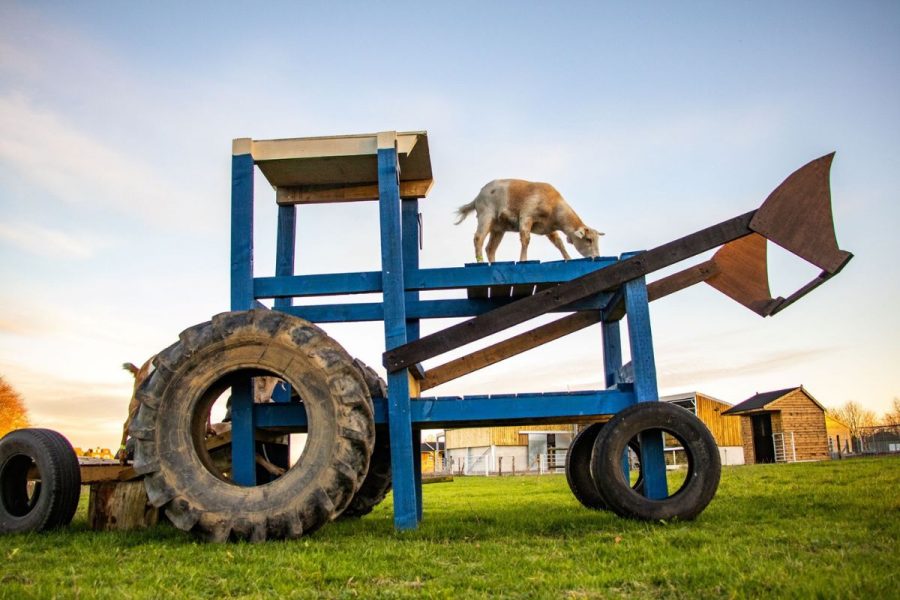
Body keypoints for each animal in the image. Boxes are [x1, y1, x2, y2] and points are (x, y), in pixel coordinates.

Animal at [454, 178, 600, 262]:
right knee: (478, 238)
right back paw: (481, 262)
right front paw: (523, 260)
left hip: (498, 228)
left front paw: (568, 258)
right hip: (486, 215)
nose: (597, 257)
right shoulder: (526, 216)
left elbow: (558, 243)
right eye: (589, 239)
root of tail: (477, 197)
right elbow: (526, 239)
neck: (554, 206)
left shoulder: (549, 228)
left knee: (490, 248)